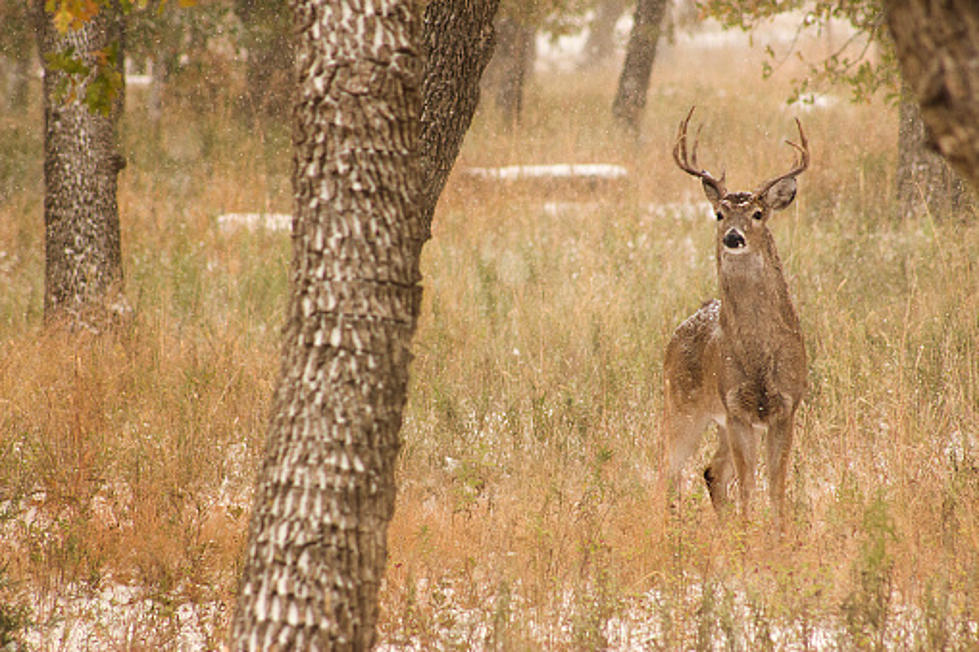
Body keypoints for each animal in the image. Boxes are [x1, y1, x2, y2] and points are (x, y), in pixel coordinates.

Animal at [668, 105, 812, 524]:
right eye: (719, 214)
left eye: (759, 213)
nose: (734, 236)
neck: (760, 358)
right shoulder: (736, 407)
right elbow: (750, 488)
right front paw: (748, 536)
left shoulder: (787, 405)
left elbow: (776, 488)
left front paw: (778, 536)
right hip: (683, 404)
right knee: (667, 471)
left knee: (711, 471)